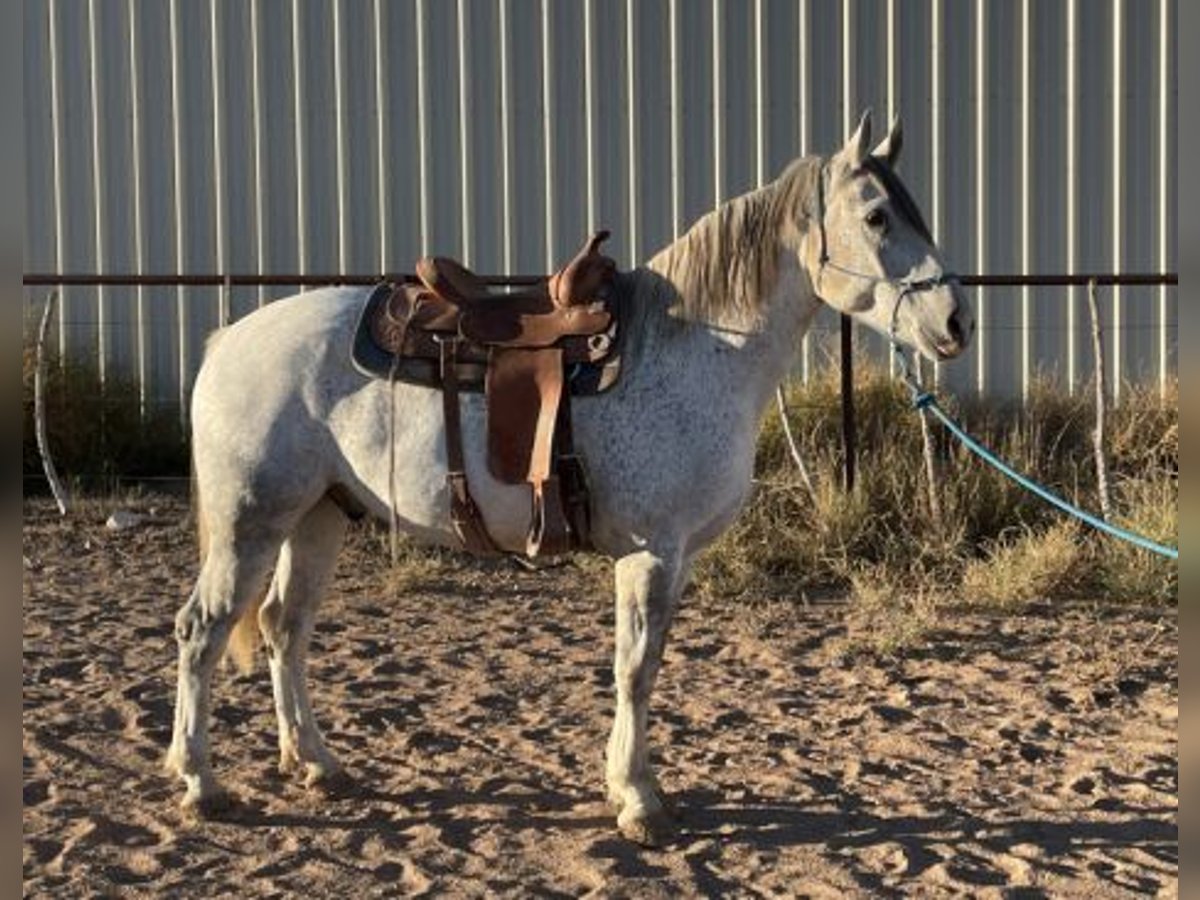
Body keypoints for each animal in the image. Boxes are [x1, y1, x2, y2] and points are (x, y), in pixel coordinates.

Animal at [166, 111, 974, 844]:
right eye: (876, 216)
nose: (956, 322)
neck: (698, 346)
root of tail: (227, 341)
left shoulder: (669, 557)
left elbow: (637, 665)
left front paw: (631, 785)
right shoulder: (651, 553)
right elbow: (637, 670)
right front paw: (639, 802)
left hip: (318, 516)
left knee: (284, 625)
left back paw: (315, 763)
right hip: (250, 524)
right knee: (202, 629)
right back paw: (201, 783)